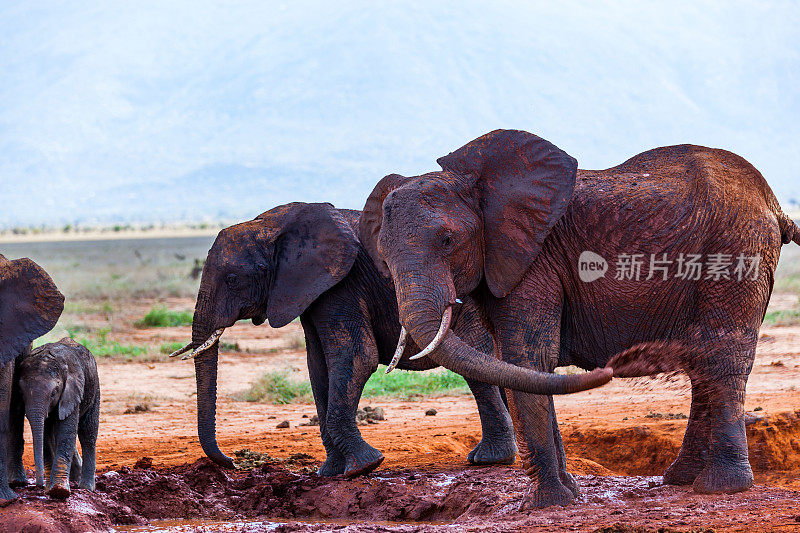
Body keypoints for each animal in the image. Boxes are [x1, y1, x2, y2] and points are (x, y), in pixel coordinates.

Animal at [11, 338, 99, 496]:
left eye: (54, 393)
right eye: (21, 392)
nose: (38, 486)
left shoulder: (71, 392)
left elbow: (66, 433)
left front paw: (59, 491)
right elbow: (46, 436)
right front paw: (50, 489)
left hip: (94, 387)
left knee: (88, 433)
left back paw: (86, 488)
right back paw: (75, 480)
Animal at [169, 202, 608, 476]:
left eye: (233, 279)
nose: (233, 462)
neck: (272, 223)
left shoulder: (340, 286)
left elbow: (355, 358)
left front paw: (363, 467)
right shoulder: (309, 294)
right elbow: (318, 368)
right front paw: (329, 473)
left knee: (478, 369)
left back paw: (489, 461)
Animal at [362, 129, 800, 508]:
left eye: (448, 241)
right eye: (381, 253)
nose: (613, 366)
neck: (478, 187)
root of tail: (775, 205)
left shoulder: (533, 261)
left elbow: (527, 359)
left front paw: (543, 505)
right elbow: (517, 366)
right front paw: (566, 496)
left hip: (736, 251)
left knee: (719, 357)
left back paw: (719, 488)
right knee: (703, 362)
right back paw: (681, 479)